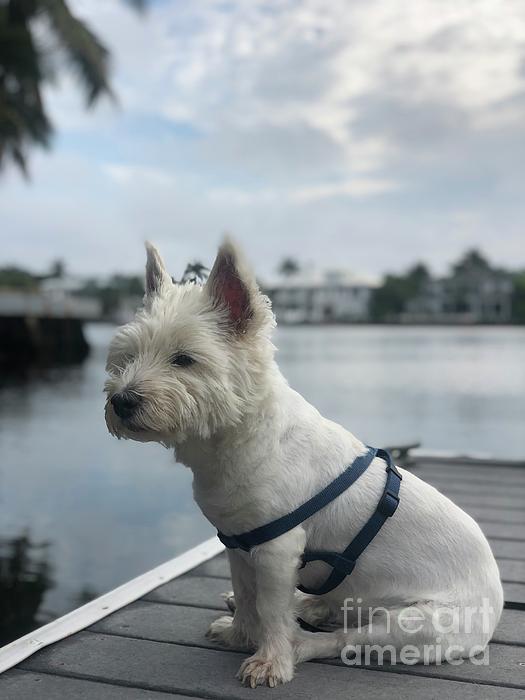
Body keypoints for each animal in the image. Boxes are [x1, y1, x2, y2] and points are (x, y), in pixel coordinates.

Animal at [104, 238, 502, 688]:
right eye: (127, 356)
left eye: (184, 359)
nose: (121, 401)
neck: (236, 438)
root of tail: (497, 600)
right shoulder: (238, 542)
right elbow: (248, 595)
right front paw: (239, 633)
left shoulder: (278, 548)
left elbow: (271, 609)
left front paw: (269, 661)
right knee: (331, 606)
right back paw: (301, 605)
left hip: (417, 623)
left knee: (343, 639)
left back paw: (299, 643)